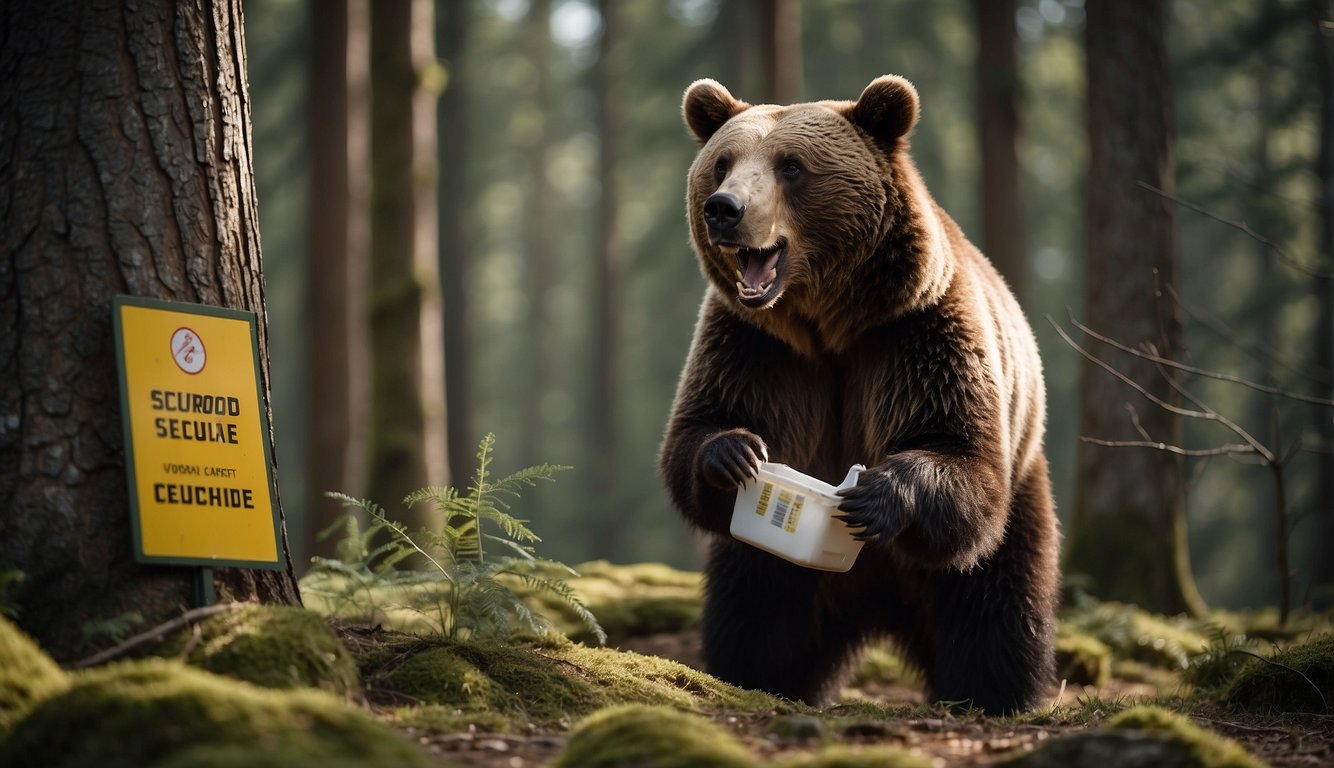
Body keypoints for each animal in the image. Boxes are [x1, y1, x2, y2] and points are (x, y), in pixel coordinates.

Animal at [661, 76, 1056, 714]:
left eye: (791, 166)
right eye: (722, 163)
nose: (723, 208)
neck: (829, 323)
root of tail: (877, 602)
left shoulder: (916, 334)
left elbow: (954, 446)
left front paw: (877, 492)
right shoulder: (759, 349)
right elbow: (700, 428)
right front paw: (736, 452)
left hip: (1019, 492)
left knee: (997, 606)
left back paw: (996, 693)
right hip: (782, 573)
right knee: (754, 610)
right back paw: (760, 677)